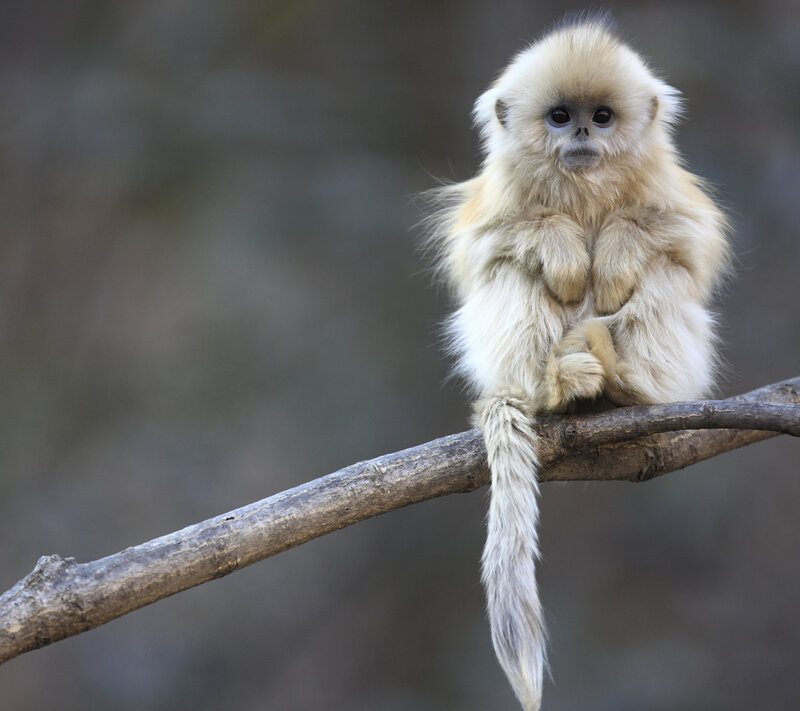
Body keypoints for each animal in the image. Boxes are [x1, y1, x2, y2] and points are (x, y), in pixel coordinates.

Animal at [425, 16, 730, 711]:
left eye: (603, 116)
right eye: (560, 116)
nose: (584, 135)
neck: (586, 188)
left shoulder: (670, 191)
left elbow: (686, 242)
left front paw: (614, 254)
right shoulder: (497, 200)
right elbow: (486, 248)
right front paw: (564, 250)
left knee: (663, 275)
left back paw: (625, 383)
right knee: (512, 273)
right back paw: (557, 387)